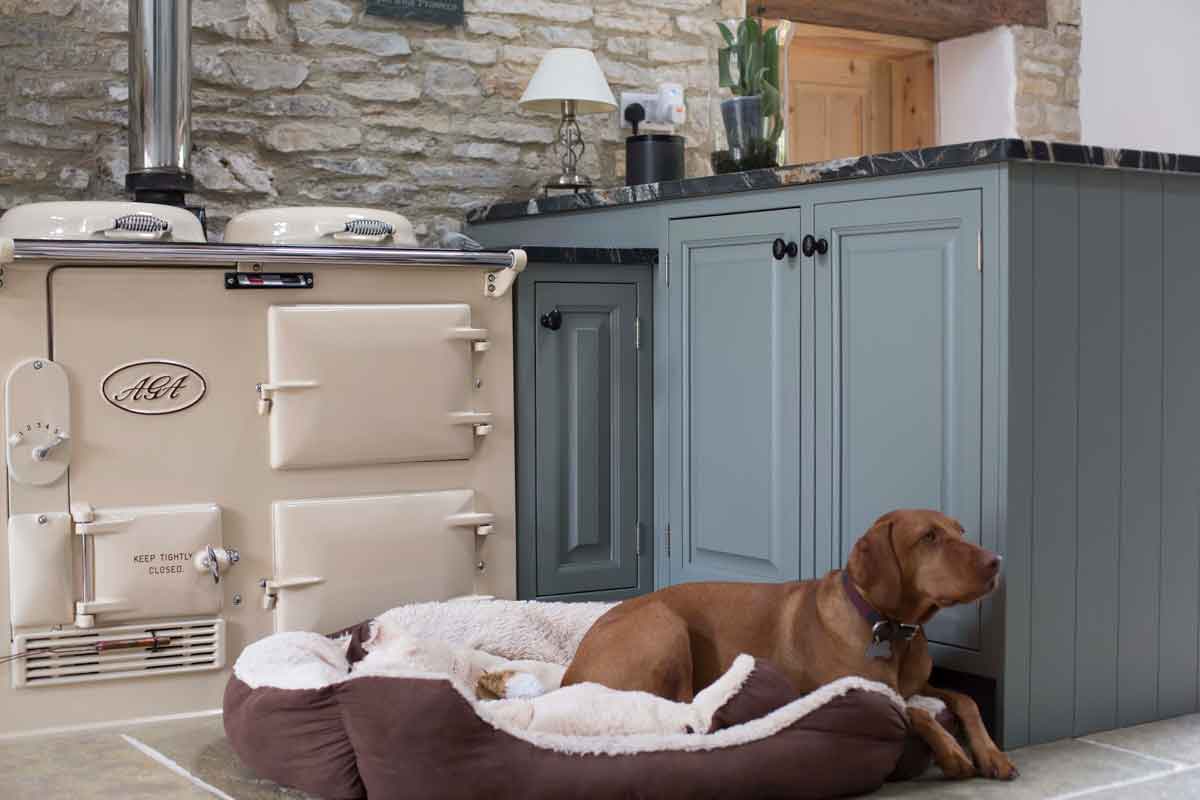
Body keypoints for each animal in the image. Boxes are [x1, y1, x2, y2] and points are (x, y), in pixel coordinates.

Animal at [566, 510, 1017, 777]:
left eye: (960, 531)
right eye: (928, 537)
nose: (997, 561)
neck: (890, 628)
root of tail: (570, 674)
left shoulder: (921, 685)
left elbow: (966, 700)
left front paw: (992, 754)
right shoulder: (852, 686)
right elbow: (916, 711)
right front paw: (953, 752)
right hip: (665, 623)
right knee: (684, 711)